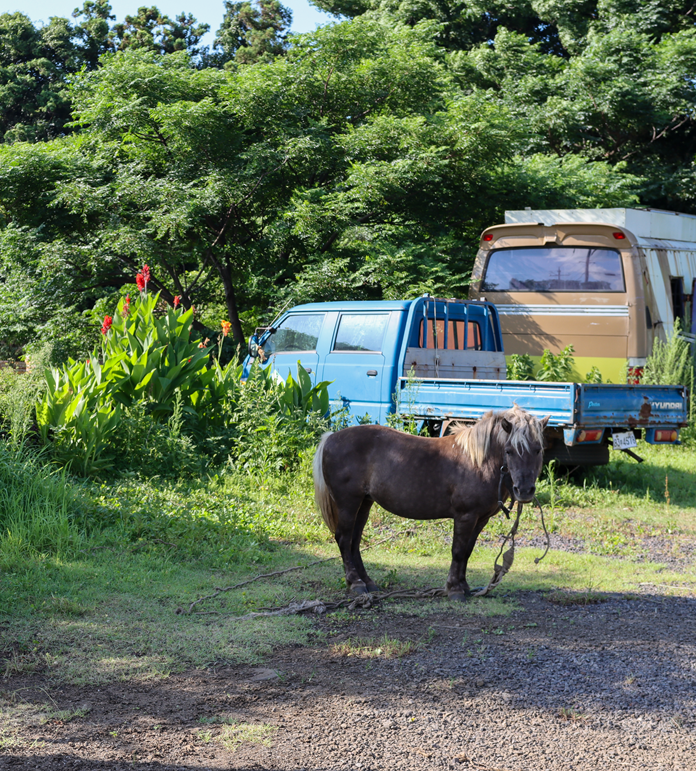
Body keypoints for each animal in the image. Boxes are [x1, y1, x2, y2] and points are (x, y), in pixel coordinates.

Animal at [312, 408, 548, 600]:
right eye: (509, 450)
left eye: (538, 449)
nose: (524, 491)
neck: (478, 462)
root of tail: (330, 438)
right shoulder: (465, 516)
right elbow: (458, 551)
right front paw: (454, 590)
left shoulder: (480, 518)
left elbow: (468, 551)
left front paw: (464, 586)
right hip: (348, 503)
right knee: (344, 539)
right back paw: (356, 584)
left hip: (364, 503)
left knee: (354, 541)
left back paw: (368, 583)